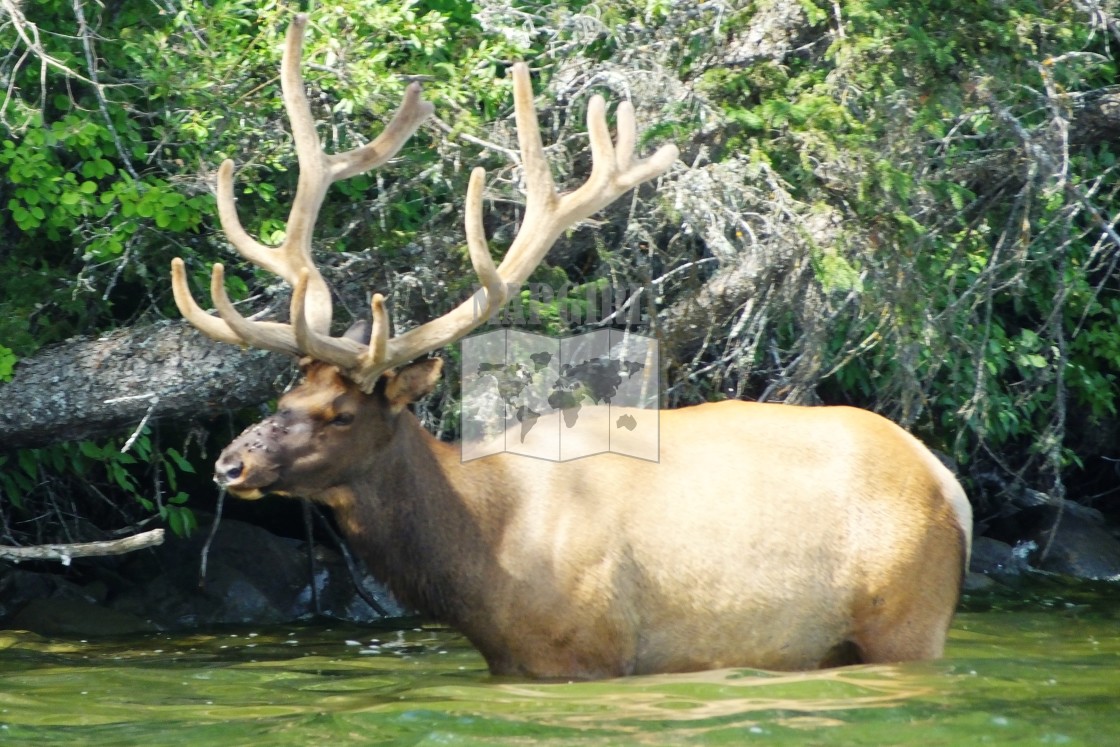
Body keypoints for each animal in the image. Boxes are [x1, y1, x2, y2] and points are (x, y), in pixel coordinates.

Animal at [172, 16, 972, 685]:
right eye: (286, 395)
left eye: (340, 413)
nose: (229, 462)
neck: (481, 569)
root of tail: (949, 485)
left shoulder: (585, 649)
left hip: (908, 616)